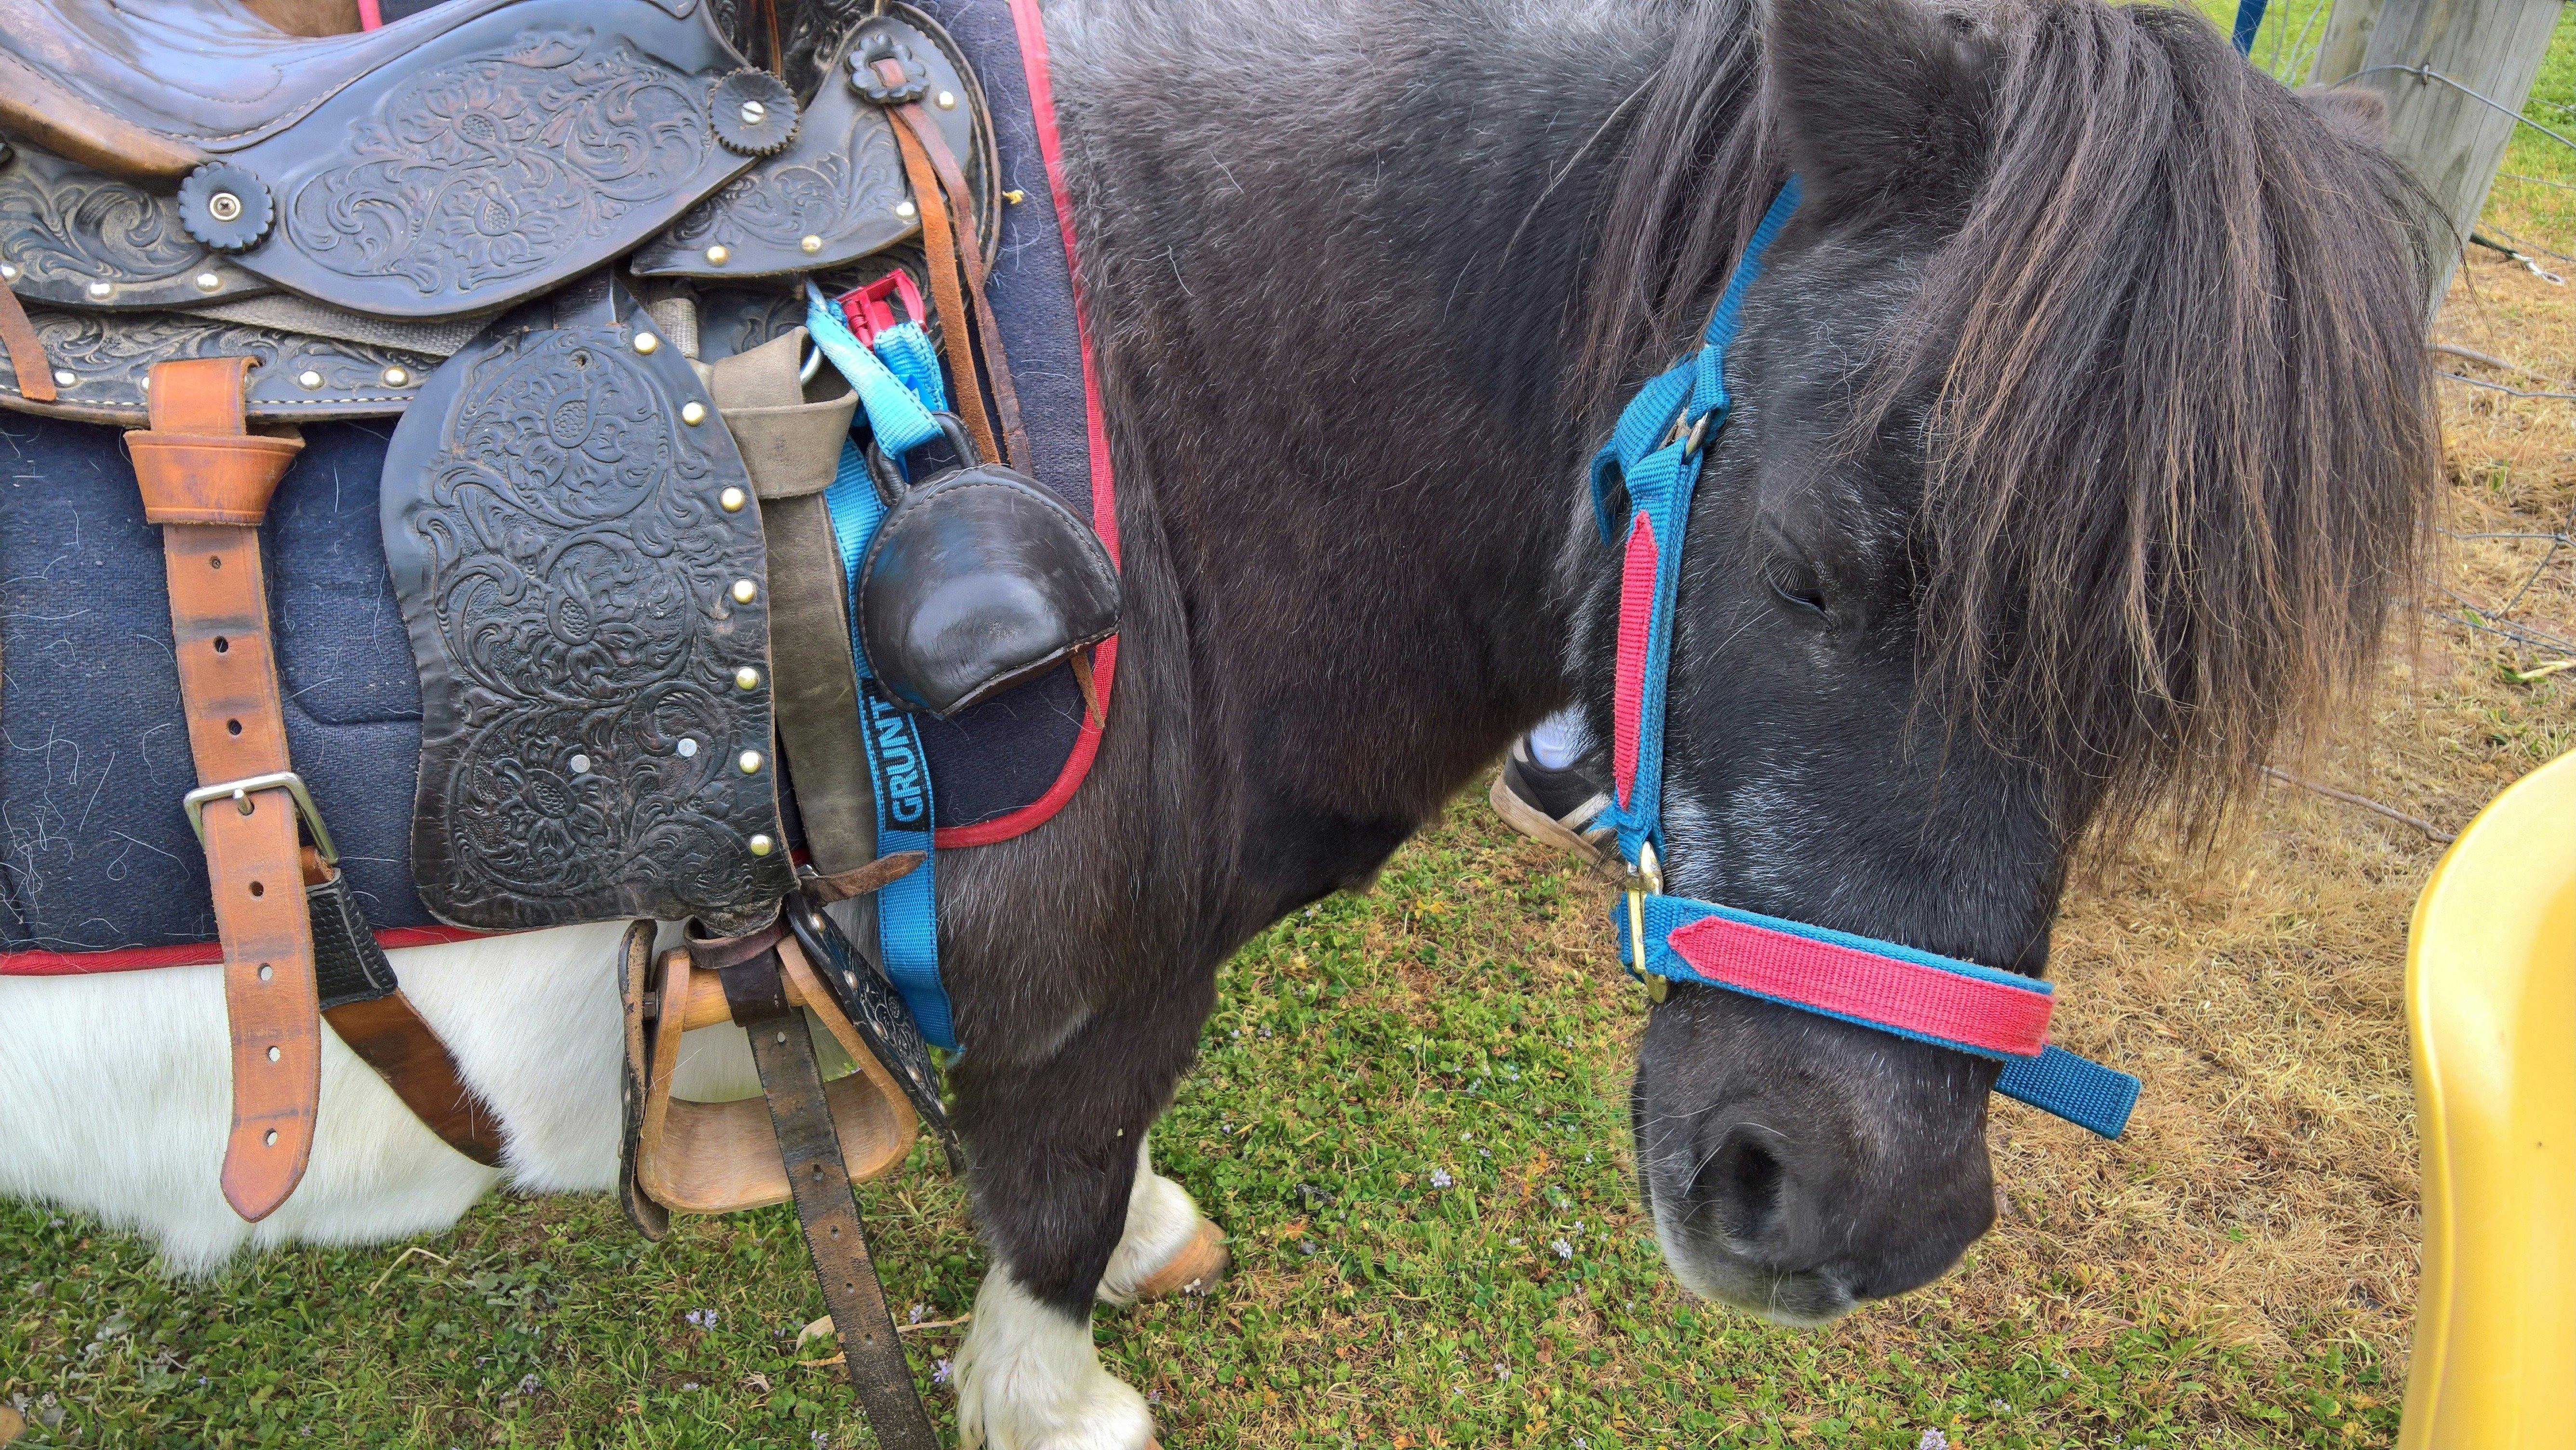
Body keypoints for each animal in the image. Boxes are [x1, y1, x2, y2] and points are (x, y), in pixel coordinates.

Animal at [0, 0, 2438, 1442]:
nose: (1851, 1211)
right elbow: (1057, 1221)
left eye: (2150, 680)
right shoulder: (1093, 1009)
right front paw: (1057, 1388)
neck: (1187, 375)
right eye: (1823, 564)